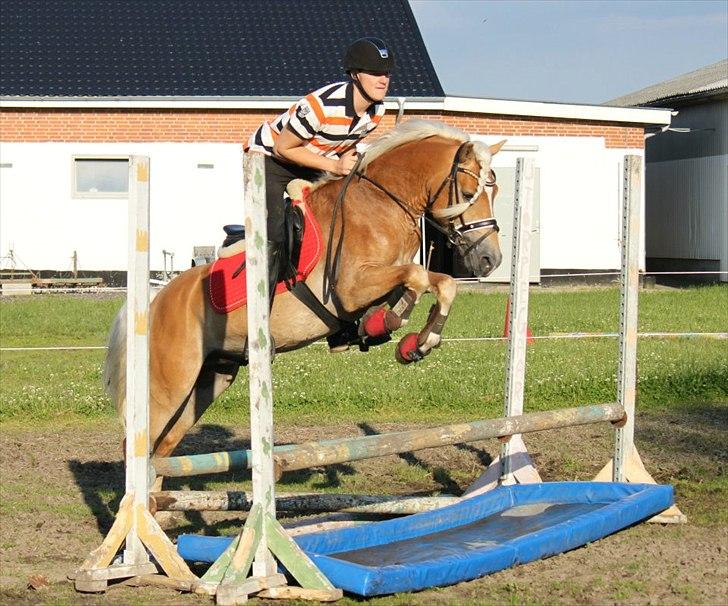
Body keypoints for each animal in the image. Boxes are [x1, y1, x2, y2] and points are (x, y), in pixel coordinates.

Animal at [104, 120, 506, 470]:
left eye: (496, 192)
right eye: (468, 194)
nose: (491, 259)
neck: (380, 202)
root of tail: (153, 303)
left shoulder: (385, 279)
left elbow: (438, 283)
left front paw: (413, 340)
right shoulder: (351, 288)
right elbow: (418, 277)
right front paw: (394, 326)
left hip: (212, 377)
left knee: (163, 449)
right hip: (170, 383)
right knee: (136, 445)